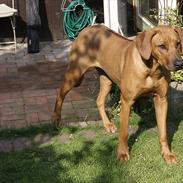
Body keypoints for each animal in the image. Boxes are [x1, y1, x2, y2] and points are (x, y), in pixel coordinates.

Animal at [51, 25, 183, 164]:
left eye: (178, 43)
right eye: (162, 46)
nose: (180, 64)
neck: (152, 69)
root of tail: (88, 28)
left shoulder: (161, 100)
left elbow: (163, 132)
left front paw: (167, 154)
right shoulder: (127, 101)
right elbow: (124, 132)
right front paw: (123, 153)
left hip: (107, 79)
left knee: (99, 100)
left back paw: (107, 125)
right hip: (75, 75)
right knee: (60, 93)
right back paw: (56, 118)